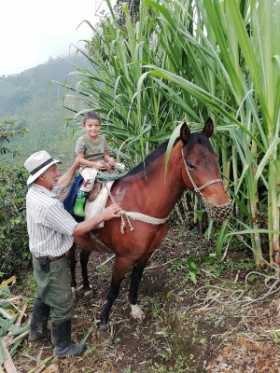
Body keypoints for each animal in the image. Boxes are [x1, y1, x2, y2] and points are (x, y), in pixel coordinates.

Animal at [70, 119, 232, 326]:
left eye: (216, 158)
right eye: (191, 164)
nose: (223, 207)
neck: (141, 202)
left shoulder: (146, 254)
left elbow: (136, 281)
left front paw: (134, 308)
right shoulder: (123, 258)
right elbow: (114, 289)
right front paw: (104, 319)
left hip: (88, 238)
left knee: (83, 258)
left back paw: (87, 286)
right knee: (71, 260)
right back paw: (73, 288)